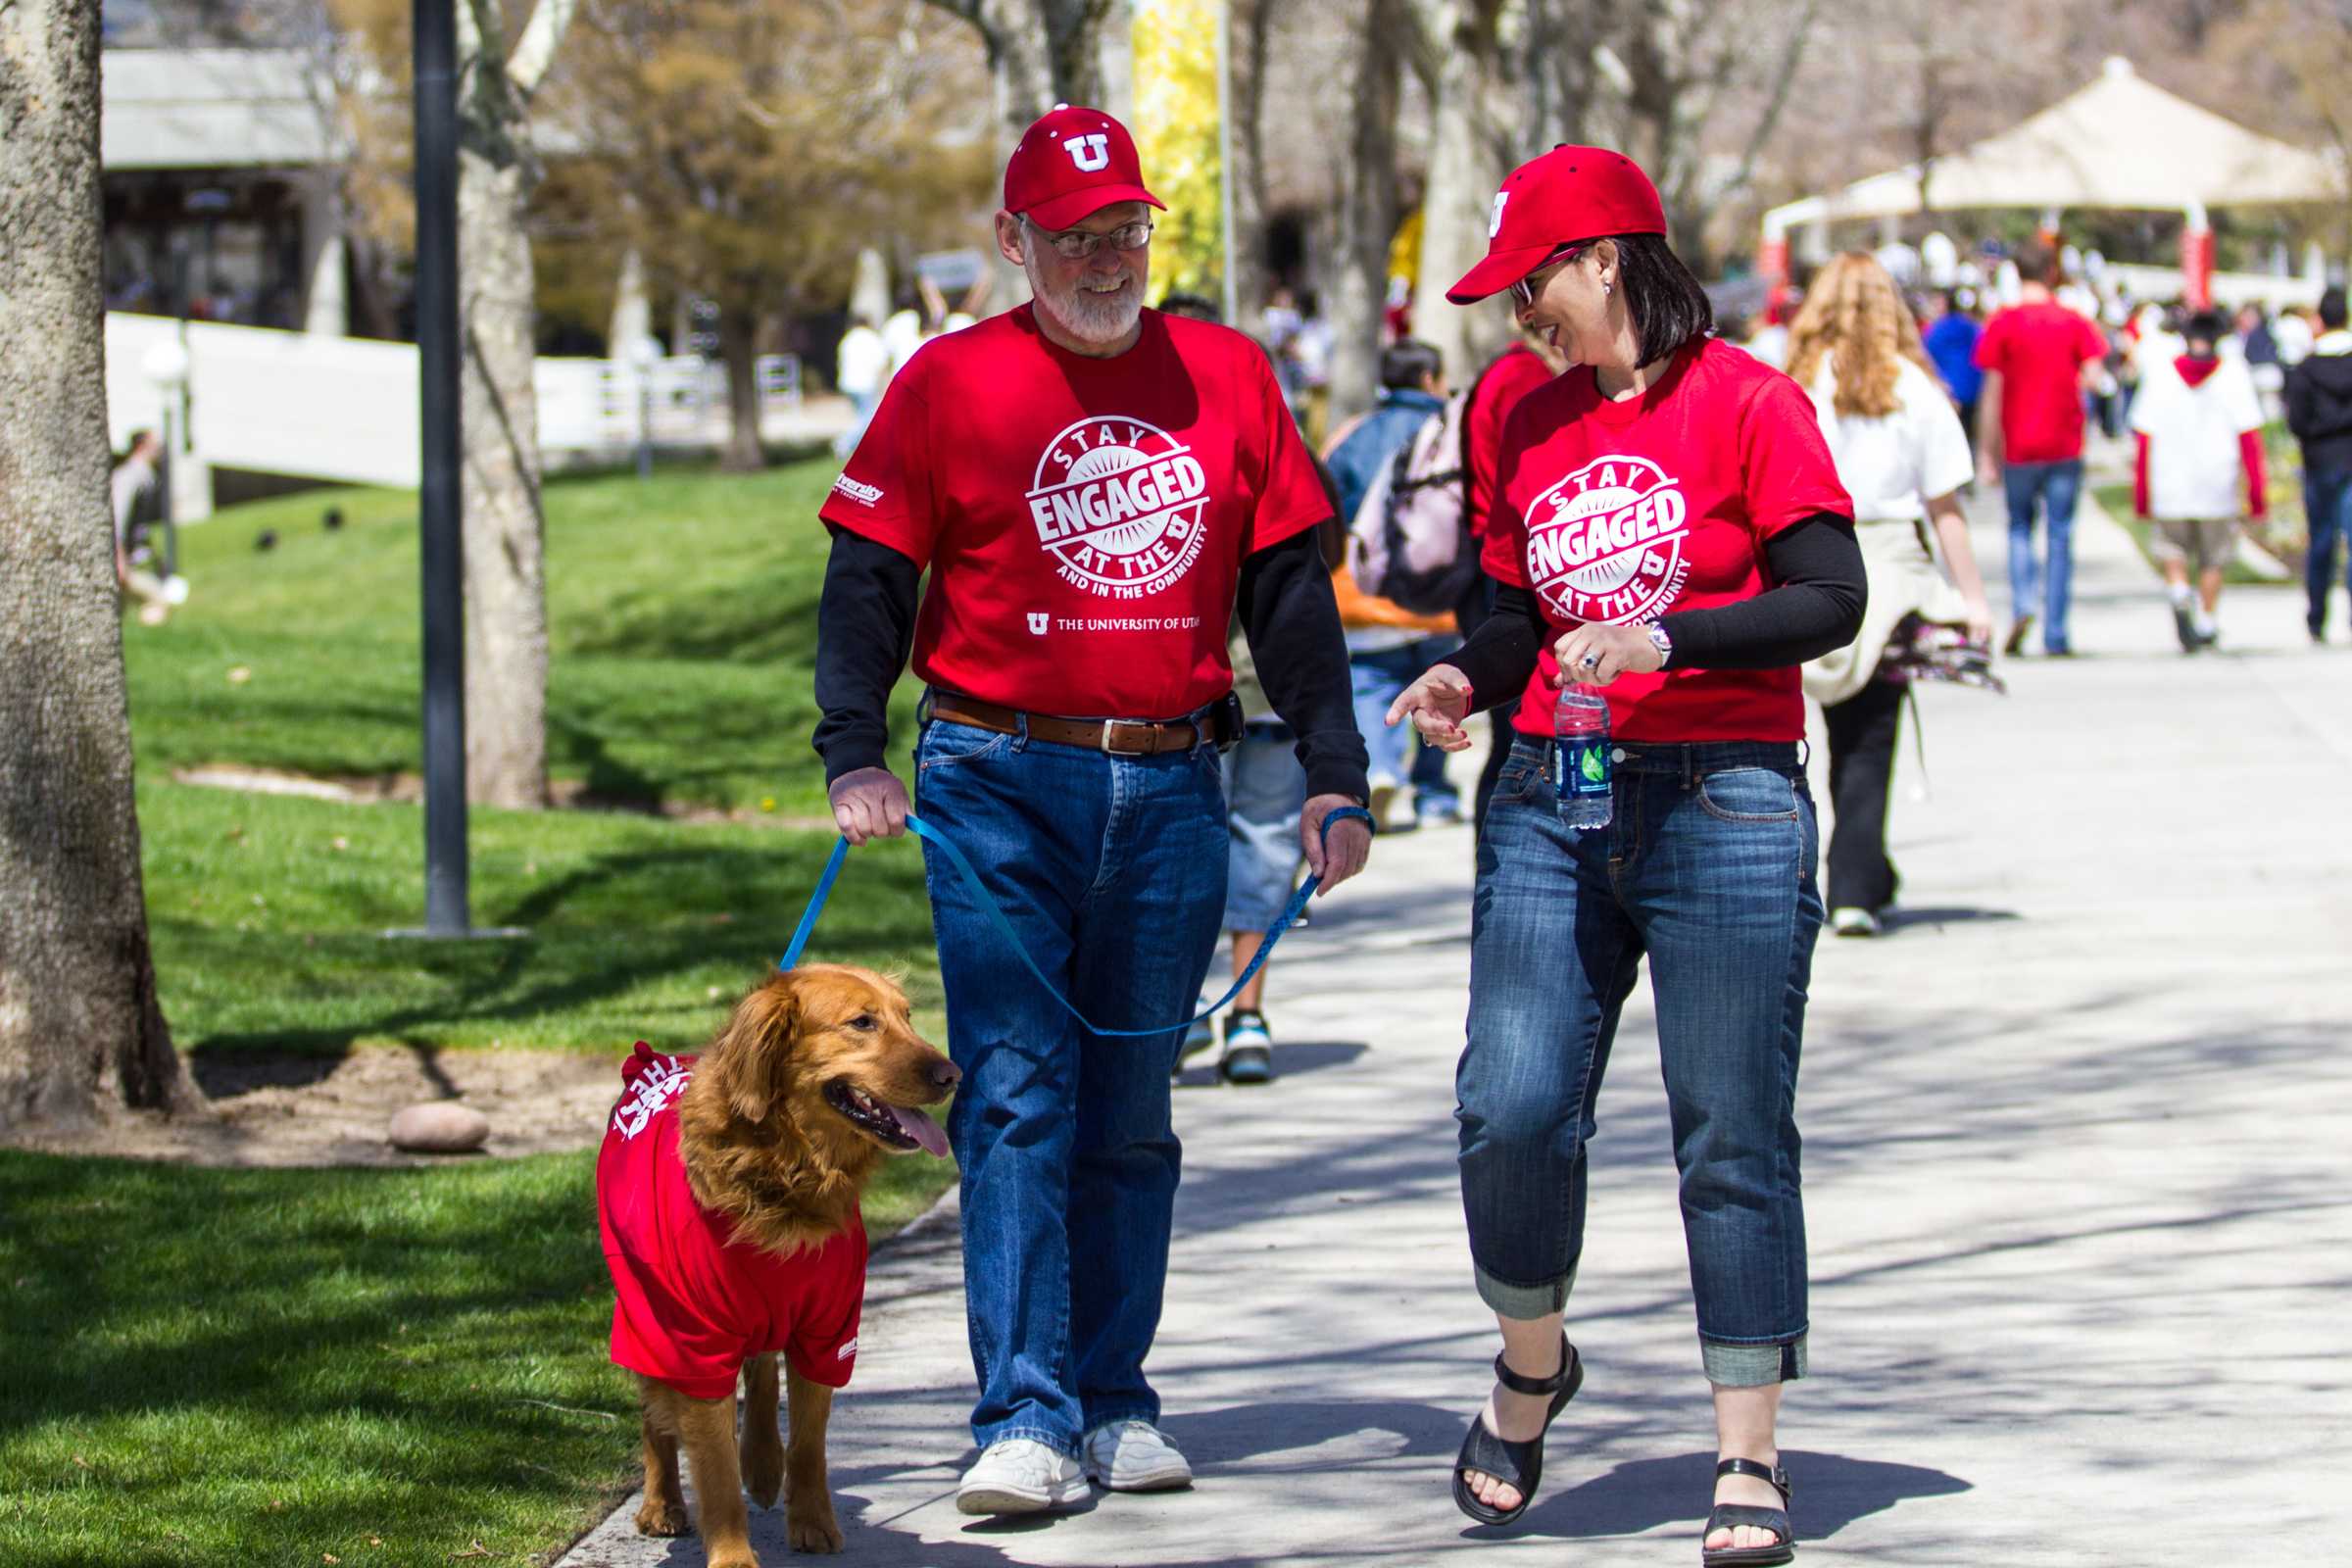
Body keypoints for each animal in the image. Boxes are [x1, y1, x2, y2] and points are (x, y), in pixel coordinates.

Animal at [602, 963, 959, 1560]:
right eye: (861, 1023)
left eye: (907, 1017)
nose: (952, 1074)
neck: (789, 1175)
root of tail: (650, 1062)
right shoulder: (695, 1340)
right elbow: (716, 1470)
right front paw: (731, 1555)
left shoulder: (828, 1330)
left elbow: (809, 1442)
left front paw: (812, 1522)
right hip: (644, 1314)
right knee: (655, 1406)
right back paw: (663, 1503)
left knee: (763, 1362)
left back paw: (765, 1464)